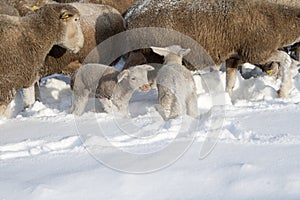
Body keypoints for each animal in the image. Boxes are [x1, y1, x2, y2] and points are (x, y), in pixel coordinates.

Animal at [125, 0, 300, 98]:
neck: (276, 20)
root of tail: (130, 15)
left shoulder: (234, 56)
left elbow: (230, 83)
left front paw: (228, 100)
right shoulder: (257, 52)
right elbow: (286, 59)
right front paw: (283, 91)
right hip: (149, 54)